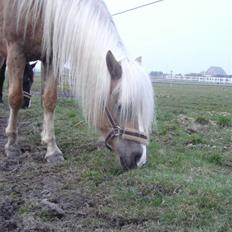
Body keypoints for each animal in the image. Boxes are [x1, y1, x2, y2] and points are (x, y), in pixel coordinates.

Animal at [0, 0, 155, 170]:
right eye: (120, 106)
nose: (140, 159)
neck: (39, 11)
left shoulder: (51, 57)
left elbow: (49, 100)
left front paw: (51, 149)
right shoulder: (16, 52)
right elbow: (15, 98)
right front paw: (12, 145)